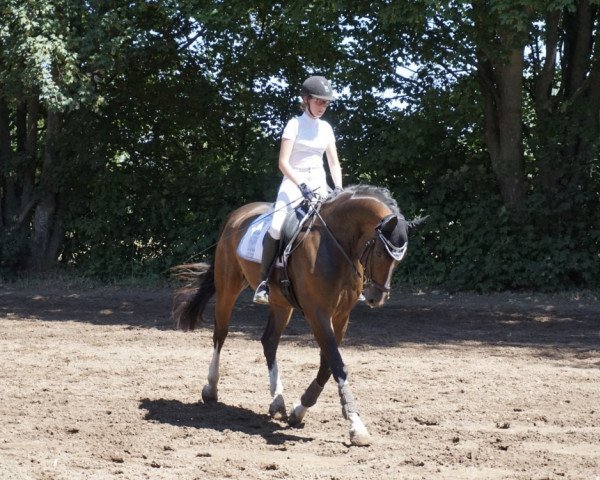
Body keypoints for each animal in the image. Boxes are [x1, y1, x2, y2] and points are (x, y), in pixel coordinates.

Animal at [172, 185, 426, 446]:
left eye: (399, 259)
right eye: (380, 254)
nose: (377, 298)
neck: (336, 245)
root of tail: (237, 214)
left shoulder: (341, 316)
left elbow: (327, 365)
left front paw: (299, 410)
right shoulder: (317, 312)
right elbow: (337, 364)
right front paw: (357, 425)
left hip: (281, 303)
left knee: (269, 341)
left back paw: (277, 400)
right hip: (228, 286)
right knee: (220, 334)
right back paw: (211, 389)